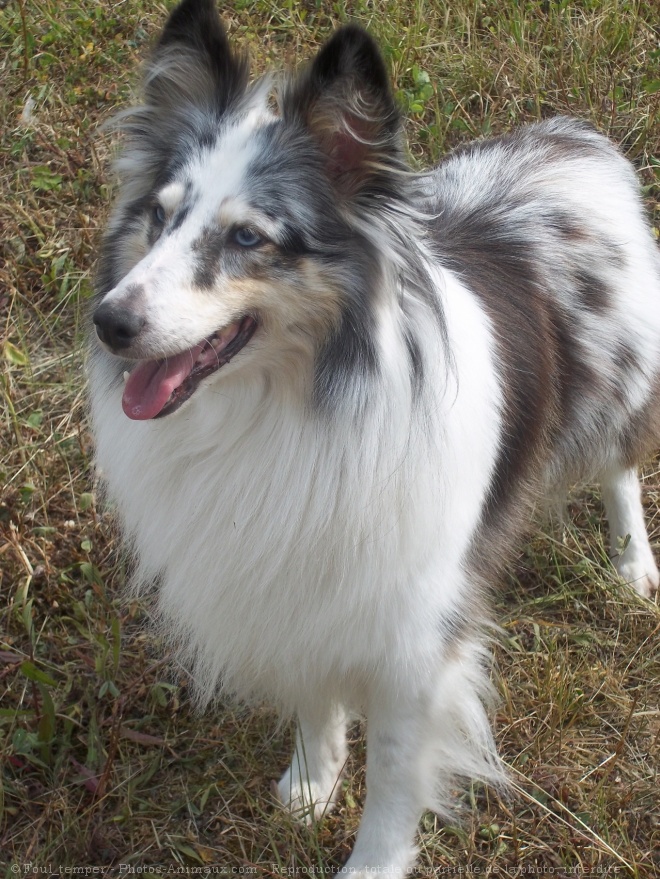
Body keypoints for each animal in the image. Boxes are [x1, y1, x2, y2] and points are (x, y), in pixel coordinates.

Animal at [87, 0, 660, 868]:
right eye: (158, 214)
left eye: (248, 237)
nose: (110, 323)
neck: (293, 403)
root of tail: (574, 144)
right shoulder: (298, 581)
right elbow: (315, 700)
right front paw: (311, 785)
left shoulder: (417, 639)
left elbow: (395, 775)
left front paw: (372, 864)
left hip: (617, 388)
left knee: (621, 466)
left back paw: (632, 565)